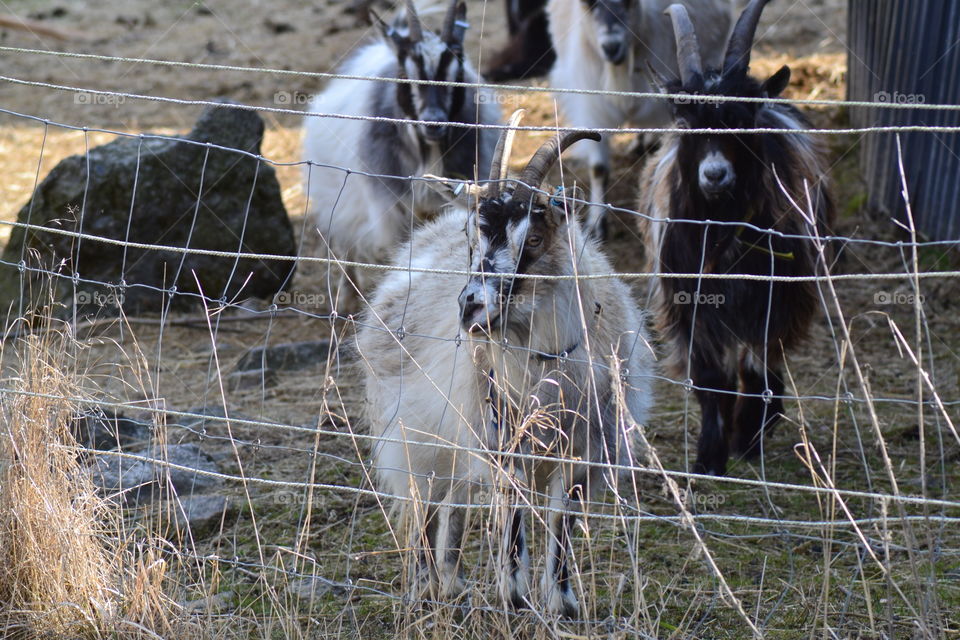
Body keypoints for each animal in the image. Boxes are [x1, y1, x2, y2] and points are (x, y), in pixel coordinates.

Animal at [302, 0, 500, 297]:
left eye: (458, 73)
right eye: (407, 76)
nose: (433, 123)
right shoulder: (392, 210)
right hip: (336, 195)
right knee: (344, 241)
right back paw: (346, 297)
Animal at [356, 113, 655, 616]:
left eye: (533, 238)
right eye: (472, 237)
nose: (471, 307)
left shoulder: (581, 449)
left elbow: (561, 520)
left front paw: (562, 602)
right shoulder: (502, 438)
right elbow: (513, 512)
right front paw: (514, 596)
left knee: (454, 501)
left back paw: (452, 581)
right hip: (415, 435)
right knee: (424, 502)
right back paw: (423, 585)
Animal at [547, 0, 734, 239]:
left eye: (630, 4)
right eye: (589, 5)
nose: (611, 47)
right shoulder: (592, 104)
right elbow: (599, 168)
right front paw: (597, 224)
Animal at [638, 0, 835, 476]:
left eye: (742, 119)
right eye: (684, 119)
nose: (714, 174)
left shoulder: (774, 296)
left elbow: (757, 363)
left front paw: (748, 434)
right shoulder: (688, 299)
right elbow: (712, 377)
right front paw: (710, 455)